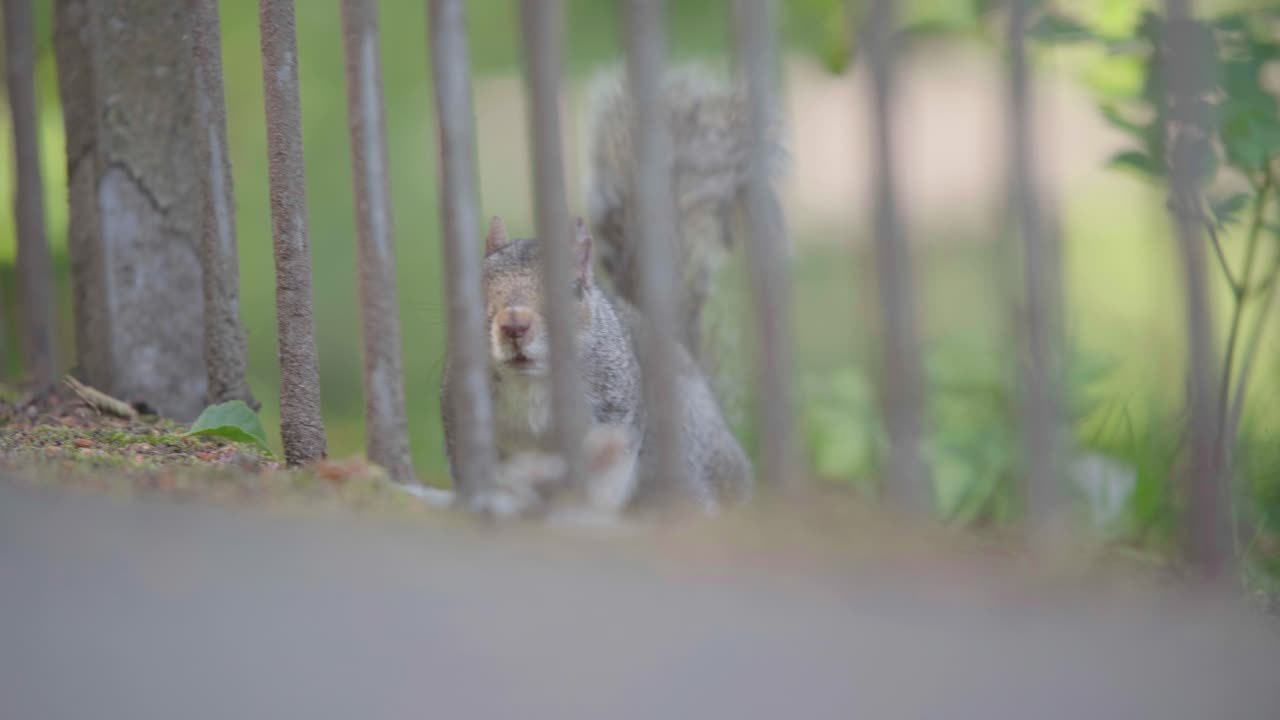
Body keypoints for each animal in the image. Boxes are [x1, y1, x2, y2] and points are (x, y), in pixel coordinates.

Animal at [440, 65, 783, 520]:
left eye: (572, 290)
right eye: (476, 289)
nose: (514, 324)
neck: (532, 384)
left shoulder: (616, 410)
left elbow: (606, 466)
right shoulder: (462, 417)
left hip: (685, 442)